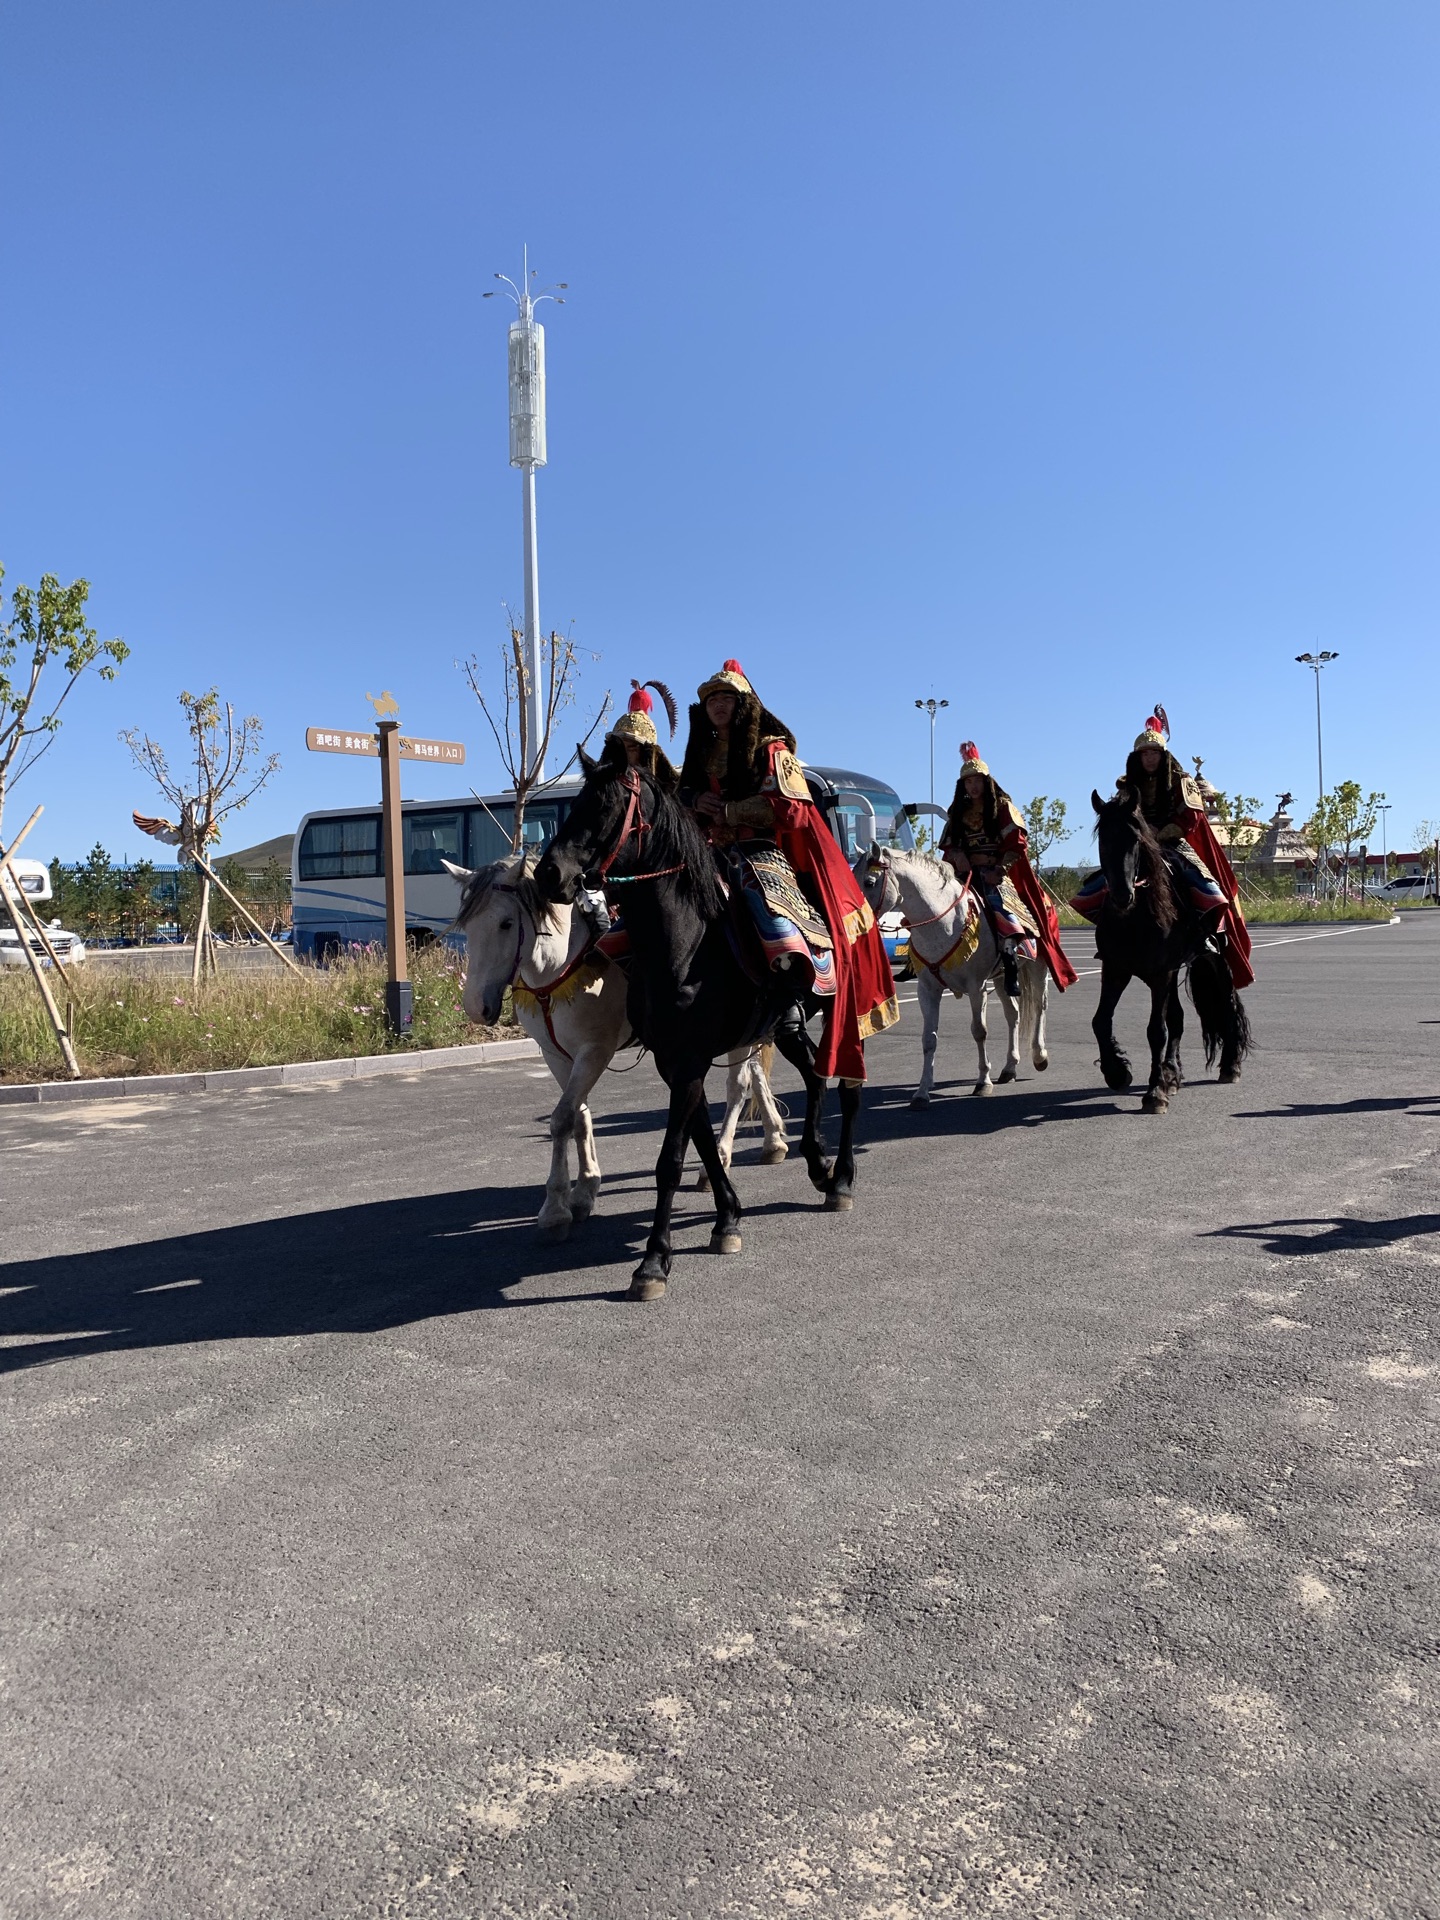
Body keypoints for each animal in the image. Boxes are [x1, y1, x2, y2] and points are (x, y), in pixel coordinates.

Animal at [451, 852, 791, 1236]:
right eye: (467, 926)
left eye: (506, 924)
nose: (475, 1007)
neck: (562, 962)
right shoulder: (556, 1055)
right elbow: (579, 1117)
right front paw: (584, 1190)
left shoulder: (594, 1051)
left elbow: (562, 1118)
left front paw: (555, 1207)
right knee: (756, 1075)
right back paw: (773, 1139)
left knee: (738, 1085)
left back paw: (719, 1157)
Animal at [537, 756, 856, 1297]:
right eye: (574, 803)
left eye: (605, 807)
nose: (548, 873)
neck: (686, 946)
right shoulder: (676, 1061)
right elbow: (702, 1141)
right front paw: (726, 1220)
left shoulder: (688, 1061)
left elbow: (671, 1159)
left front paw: (652, 1262)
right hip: (787, 1026)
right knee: (815, 1076)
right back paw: (818, 1166)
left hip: (847, 1013)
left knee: (848, 1087)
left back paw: (844, 1180)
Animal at [856, 848, 1052, 1105]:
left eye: (869, 882)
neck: (943, 923)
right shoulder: (927, 989)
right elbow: (929, 1039)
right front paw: (922, 1092)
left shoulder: (976, 987)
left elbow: (979, 1031)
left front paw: (983, 1082)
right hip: (1002, 978)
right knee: (1013, 1014)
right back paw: (1009, 1068)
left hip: (1038, 966)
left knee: (1039, 1006)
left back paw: (1040, 1056)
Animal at [1090, 779, 1251, 1113]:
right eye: (1103, 840)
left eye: (1136, 839)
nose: (1122, 895)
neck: (1134, 918)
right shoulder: (1115, 969)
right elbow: (1101, 1021)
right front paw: (1117, 1072)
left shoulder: (1160, 973)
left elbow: (1156, 1031)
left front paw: (1154, 1093)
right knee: (1176, 1018)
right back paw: (1172, 1073)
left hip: (1216, 959)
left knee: (1226, 1004)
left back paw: (1229, 1066)